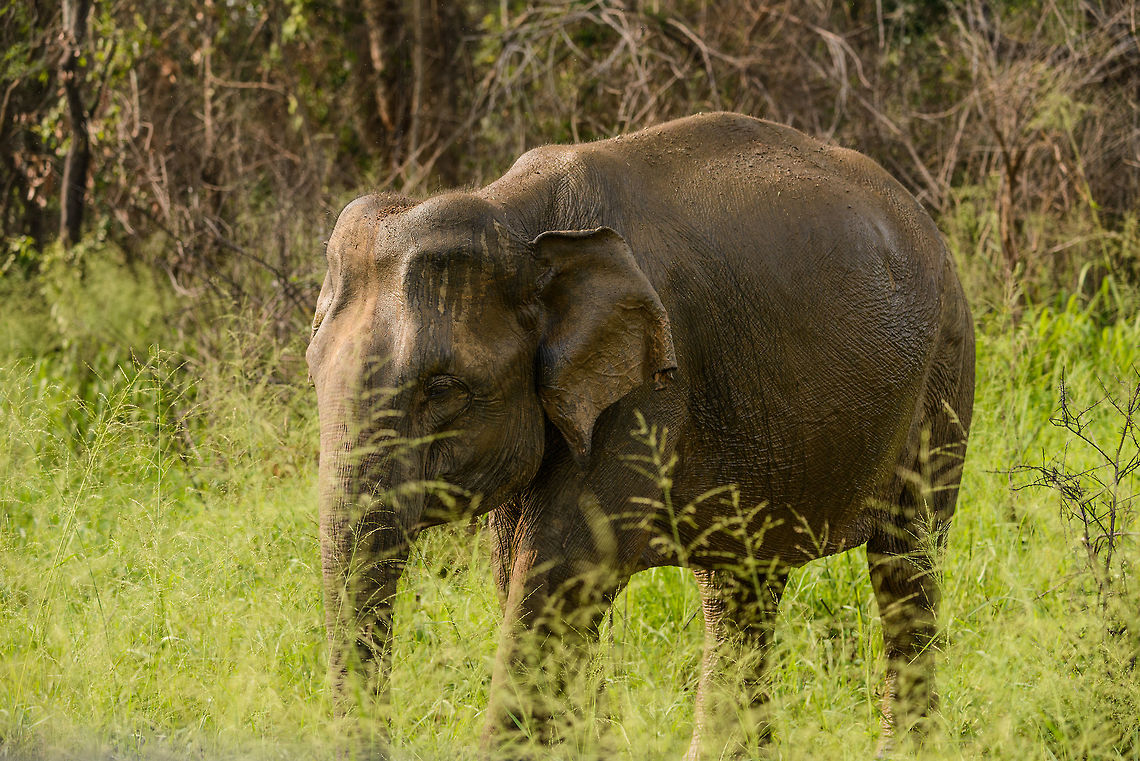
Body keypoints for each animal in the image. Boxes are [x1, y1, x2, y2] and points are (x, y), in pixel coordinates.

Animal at [305, 112, 974, 758]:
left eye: (442, 388)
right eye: (313, 372)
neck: (514, 217)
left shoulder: (650, 387)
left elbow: (558, 573)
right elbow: (521, 572)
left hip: (945, 371)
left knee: (906, 562)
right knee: (742, 588)